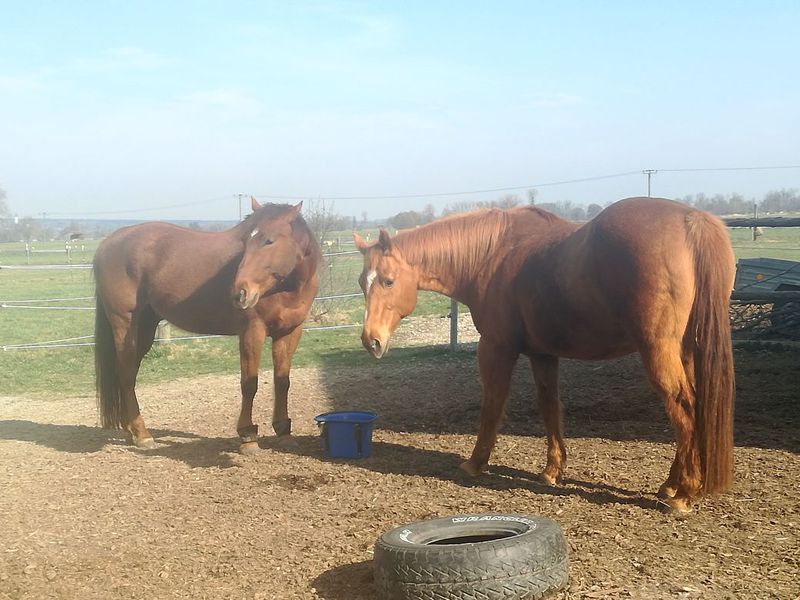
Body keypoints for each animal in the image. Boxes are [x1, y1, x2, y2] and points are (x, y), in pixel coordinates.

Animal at [94, 198, 321, 453]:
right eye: (246, 241)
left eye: (269, 241)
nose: (239, 292)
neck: (285, 288)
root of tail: (109, 242)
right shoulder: (252, 331)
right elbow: (249, 383)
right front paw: (248, 437)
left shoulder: (289, 332)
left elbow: (282, 382)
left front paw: (284, 432)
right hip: (125, 324)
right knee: (125, 374)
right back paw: (143, 435)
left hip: (144, 328)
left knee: (128, 374)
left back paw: (131, 431)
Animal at [354, 197, 735, 513]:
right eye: (362, 282)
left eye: (388, 280)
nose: (371, 341)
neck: (491, 255)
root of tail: (692, 221)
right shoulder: (543, 354)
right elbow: (550, 406)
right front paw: (552, 469)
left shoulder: (496, 348)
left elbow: (492, 406)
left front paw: (475, 463)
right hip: (685, 350)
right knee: (692, 408)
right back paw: (672, 485)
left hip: (659, 351)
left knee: (683, 407)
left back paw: (684, 494)